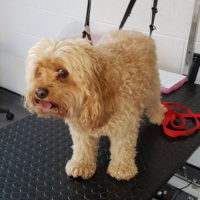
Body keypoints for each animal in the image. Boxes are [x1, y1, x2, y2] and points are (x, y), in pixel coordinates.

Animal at [24, 30, 166, 181]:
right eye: (38, 70)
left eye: (63, 72)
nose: (39, 92)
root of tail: (135, 32)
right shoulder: (81, 129)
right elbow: (82, 148)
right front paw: (81, 165)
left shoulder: (125, 125)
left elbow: (123, 148)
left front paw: (122, 168)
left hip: (151, 87)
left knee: (155, 100)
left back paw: (158, 114)